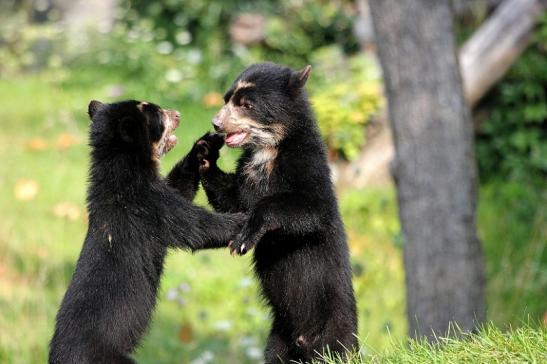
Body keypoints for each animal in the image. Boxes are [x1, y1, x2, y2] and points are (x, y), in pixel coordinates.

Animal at [49, 99, 244, 364]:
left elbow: (179, 187)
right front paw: (247, 220)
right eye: (158, 113)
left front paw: (205, 146)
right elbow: (195, 227)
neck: (123, 173)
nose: (178, 114)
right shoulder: (149, 207)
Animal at [193, 64, 360, 362]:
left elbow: (311, 210)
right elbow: (231, 199)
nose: (216, 124)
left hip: (335, 329)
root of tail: (304, 339)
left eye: (247, 104)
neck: (268, 150)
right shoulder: (247, 175)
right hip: (277, 336)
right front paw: (205, 151)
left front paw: (243, 240)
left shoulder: (306, 166)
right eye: (226, 99)